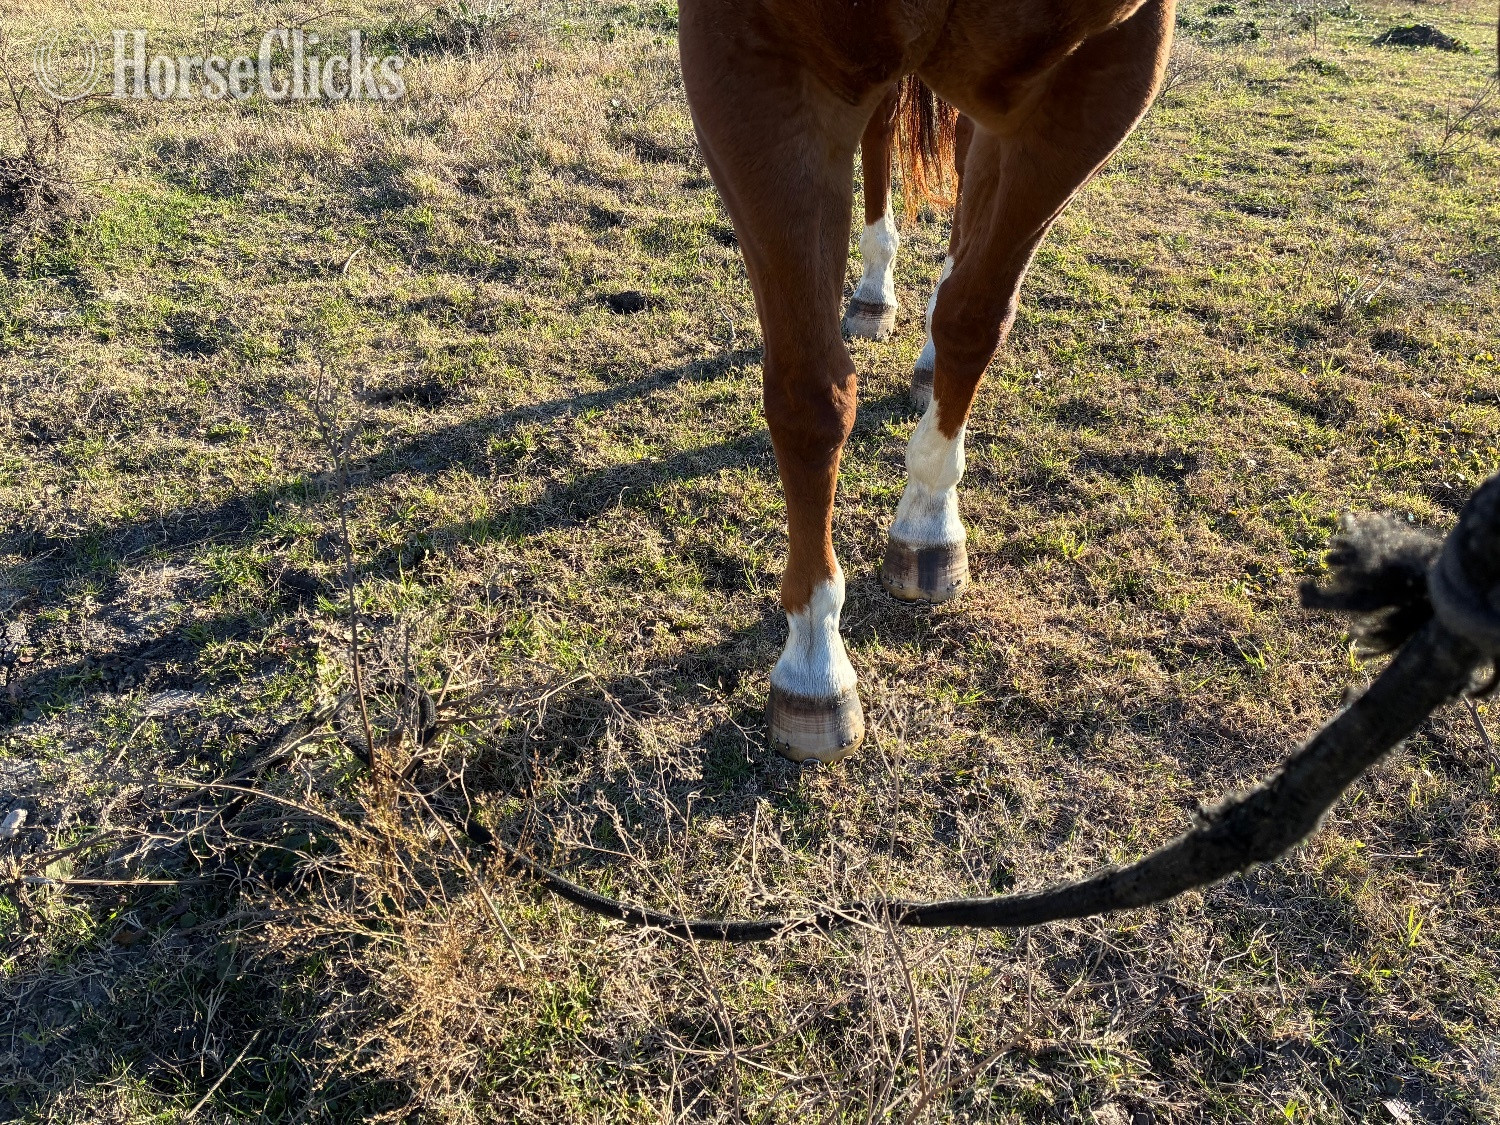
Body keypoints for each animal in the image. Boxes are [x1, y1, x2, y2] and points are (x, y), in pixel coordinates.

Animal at [679, 0, 1176, 763]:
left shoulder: (1103, 70)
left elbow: (974, 319)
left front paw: (928, 525)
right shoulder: (751, 62)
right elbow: (809, 393)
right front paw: (814, 663)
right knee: (884, 132)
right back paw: (873, 296)